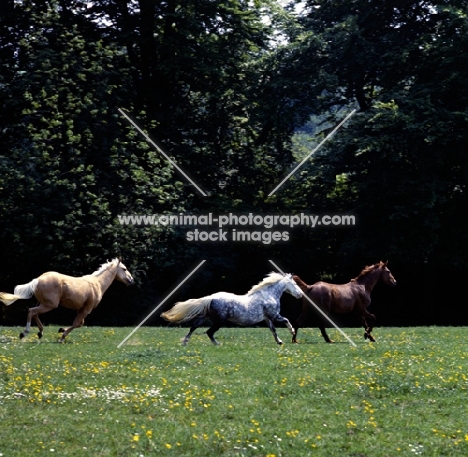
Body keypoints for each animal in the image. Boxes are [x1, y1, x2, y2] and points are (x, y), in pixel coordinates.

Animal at [0, 258, 133, 340]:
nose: (131, 280)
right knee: (31, 311)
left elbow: (80, 323)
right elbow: (76, 323)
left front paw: (61, 329)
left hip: (42, 303)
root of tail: (37, 280)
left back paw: (40, 332)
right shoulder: (87, 309)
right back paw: (24, 333)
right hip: (50, 305)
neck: (97, 284)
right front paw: (62, 337)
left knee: (34, 313)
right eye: (124, 269)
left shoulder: (81, 309)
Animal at [162, 272, 304, 344]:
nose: (301, 295)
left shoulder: (267, 318)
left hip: (205, 317)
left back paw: (185, 342)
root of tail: (211, 298)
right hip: (219, 321)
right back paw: (217, 345)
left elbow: (273, 330)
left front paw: (279, 342)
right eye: (295, 283)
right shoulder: (274, 315)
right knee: (209, 332)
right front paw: (292, 332)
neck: (268, 295)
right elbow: (286, 320)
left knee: (194, 327)